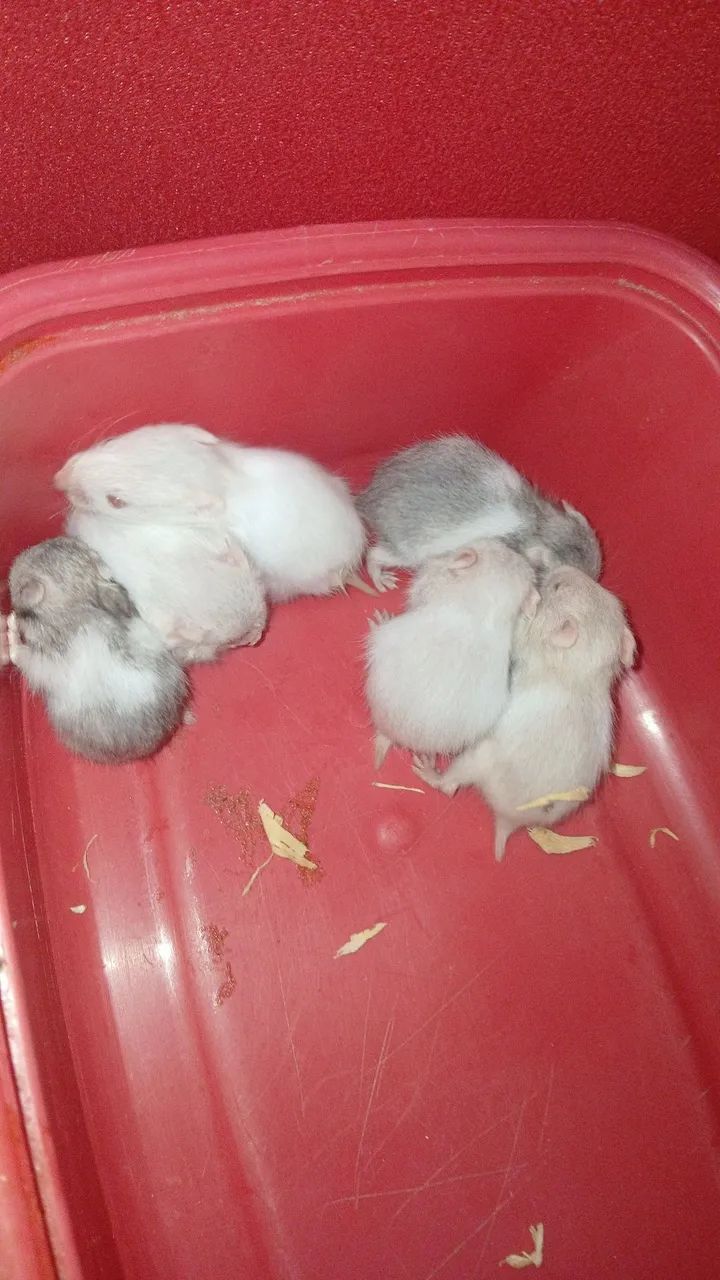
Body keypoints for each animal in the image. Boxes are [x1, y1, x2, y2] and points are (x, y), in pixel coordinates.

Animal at [357, 435, 602, 590]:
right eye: (558, 581)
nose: (596, 578)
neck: (538, 524)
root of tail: (369, 498)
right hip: (408, 552)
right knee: (374, 554)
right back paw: (383, 581)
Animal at [414, 565, 636, 860]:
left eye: (557, 587)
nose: (562, 567)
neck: (584, 664)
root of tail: (508, 821)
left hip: (474, 759)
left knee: (448, 787)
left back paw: (427, 770)